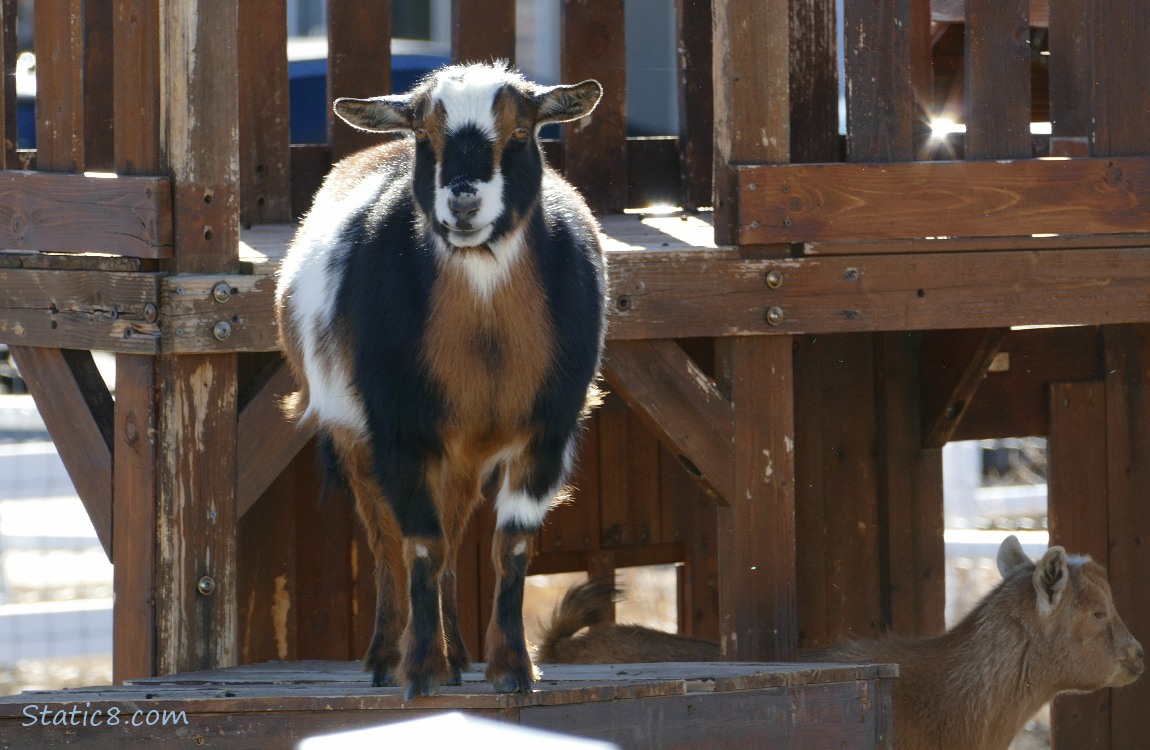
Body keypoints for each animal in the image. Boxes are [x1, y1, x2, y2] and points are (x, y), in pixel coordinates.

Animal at [276, 61, 611, 699]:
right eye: (424, 136)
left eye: (521, 132)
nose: (463, 203)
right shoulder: (399, 430)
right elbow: (420, 547)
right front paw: (419, 671)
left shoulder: (548, 431)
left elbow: (510, 545)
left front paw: (512, 669)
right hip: (353, 434)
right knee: (386, 541)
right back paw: (389, 655)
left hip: (462, 456)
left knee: (455, 536)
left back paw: (458, 656)